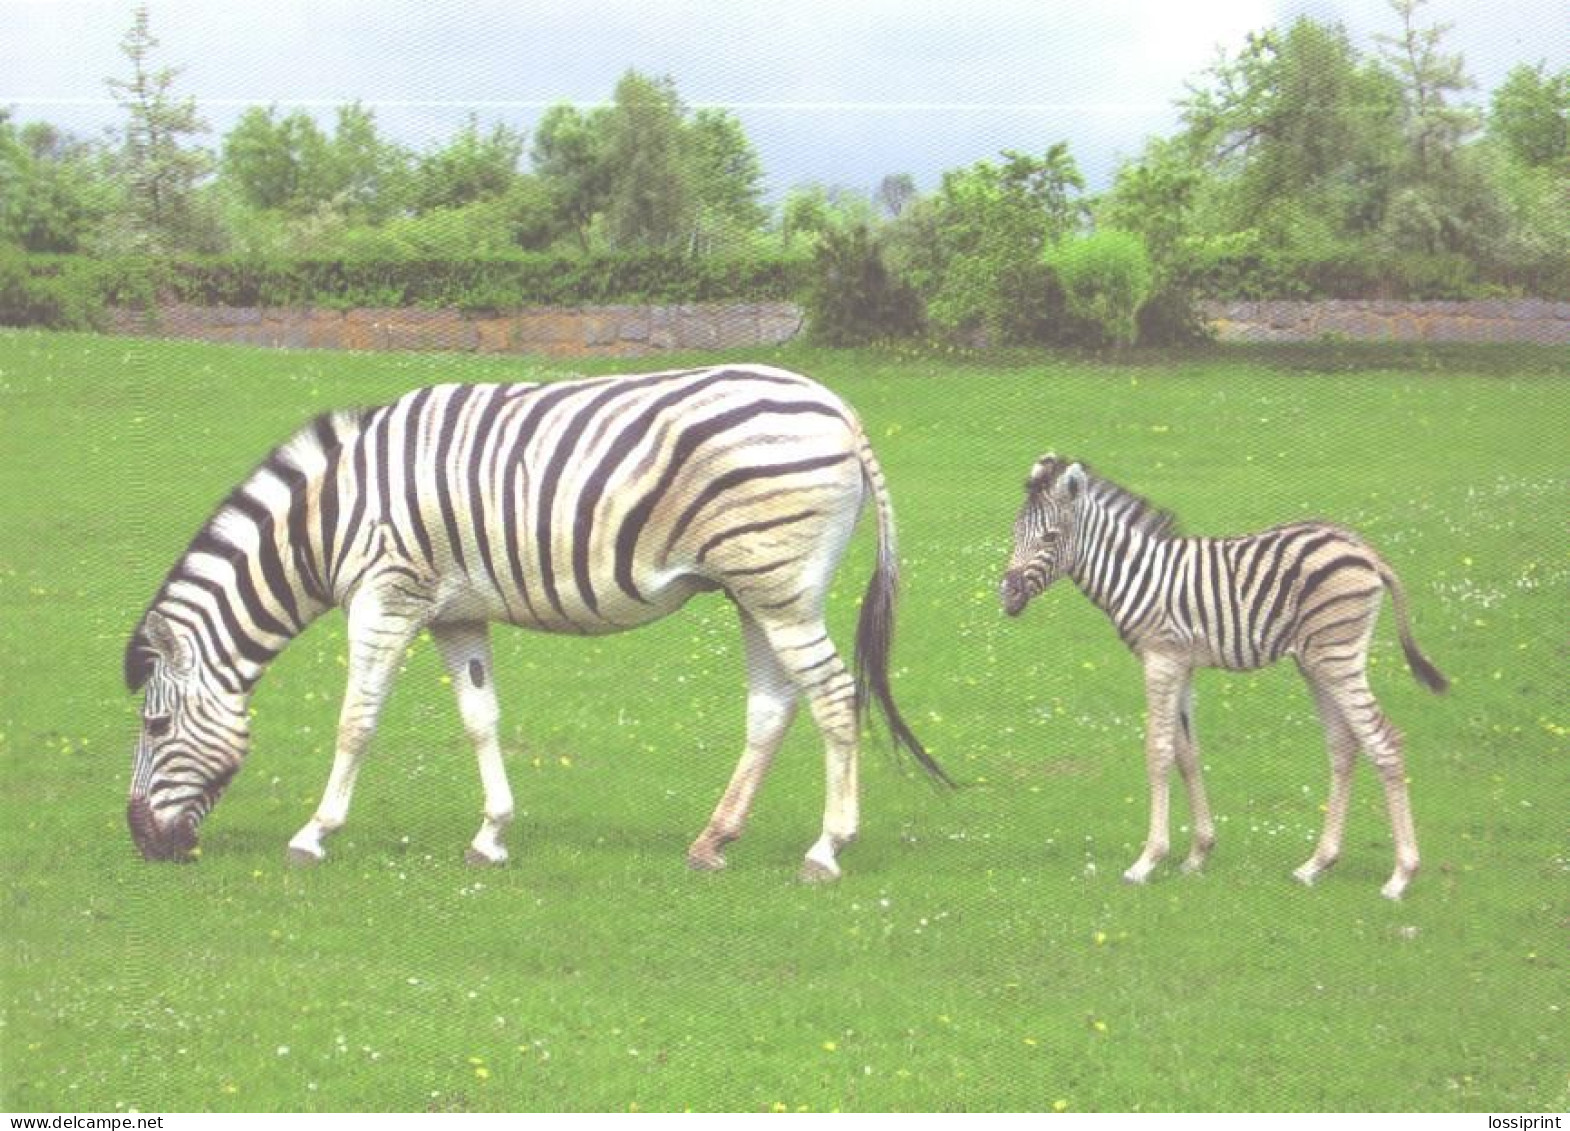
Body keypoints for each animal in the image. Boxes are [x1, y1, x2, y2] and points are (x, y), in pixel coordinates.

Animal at [122, 366, 948, 879]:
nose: (142, 844)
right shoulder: (455, 613)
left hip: (779, 587)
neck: (329, 517)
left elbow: (356, 720)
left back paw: (827, 848)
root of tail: (840, 408)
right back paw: (713, 840)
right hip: (757, 590)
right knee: (775, 707)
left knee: (835, 698)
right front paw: (491, 835)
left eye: (156, 727)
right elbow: (480, 718)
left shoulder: (387, 593)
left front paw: (312, 835)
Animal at [1004, 455, 1444, 898]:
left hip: (1338, 656)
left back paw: (1401, 876)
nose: (1006, 595)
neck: (1136, 574)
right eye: (1014, 532)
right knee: (1343, 745)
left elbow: (1158, 751)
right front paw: (1198, 854)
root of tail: (1365, 550)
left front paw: (1147, 861)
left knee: (1383, 741)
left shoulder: (1160, 660)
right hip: (1315, 661)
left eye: (1049, 537)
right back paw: (1316, 864)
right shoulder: (1181, 664)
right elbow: (1187, 753)